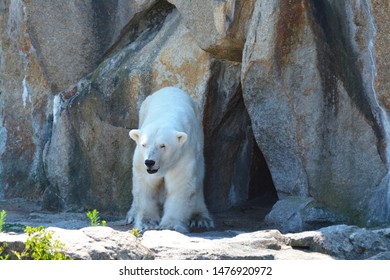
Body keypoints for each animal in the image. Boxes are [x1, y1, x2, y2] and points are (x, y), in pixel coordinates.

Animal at [126, 87, 213, 232]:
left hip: (199, 131)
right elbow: (146, 187)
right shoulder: (140, 160)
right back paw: (132, 214)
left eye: (163, 145)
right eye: (144, 144)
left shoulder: (182, 155)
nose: (149, 162)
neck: (164, 118)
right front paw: (147, 223)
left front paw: (170, 225)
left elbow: (179, 186)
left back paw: (200, 218)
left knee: (199, 176)